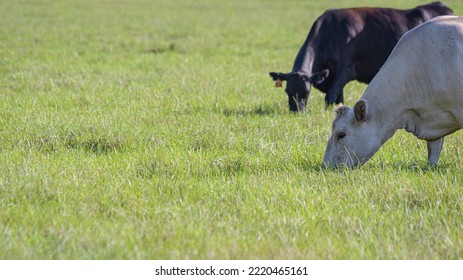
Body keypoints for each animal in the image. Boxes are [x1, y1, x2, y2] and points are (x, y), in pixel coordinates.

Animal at [270, 2, 454, 111]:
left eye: (307, 93)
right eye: (287, 91)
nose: (296, 112)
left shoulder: (346, 70)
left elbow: (330, 97)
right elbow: (338, 97)